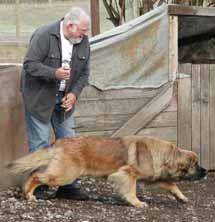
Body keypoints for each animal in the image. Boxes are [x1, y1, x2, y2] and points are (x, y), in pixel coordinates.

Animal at [7, 135, 207, 208]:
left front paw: (181, 197)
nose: (205, 172)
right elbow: (131, 190)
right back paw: (29, 194)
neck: (164, 154)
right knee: (36, 176)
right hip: (65, 174)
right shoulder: (127, 174)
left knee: (35, 174)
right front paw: (136, 203)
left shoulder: (155, 177)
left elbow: (172, 185)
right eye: (196, 165)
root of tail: (61, 142)